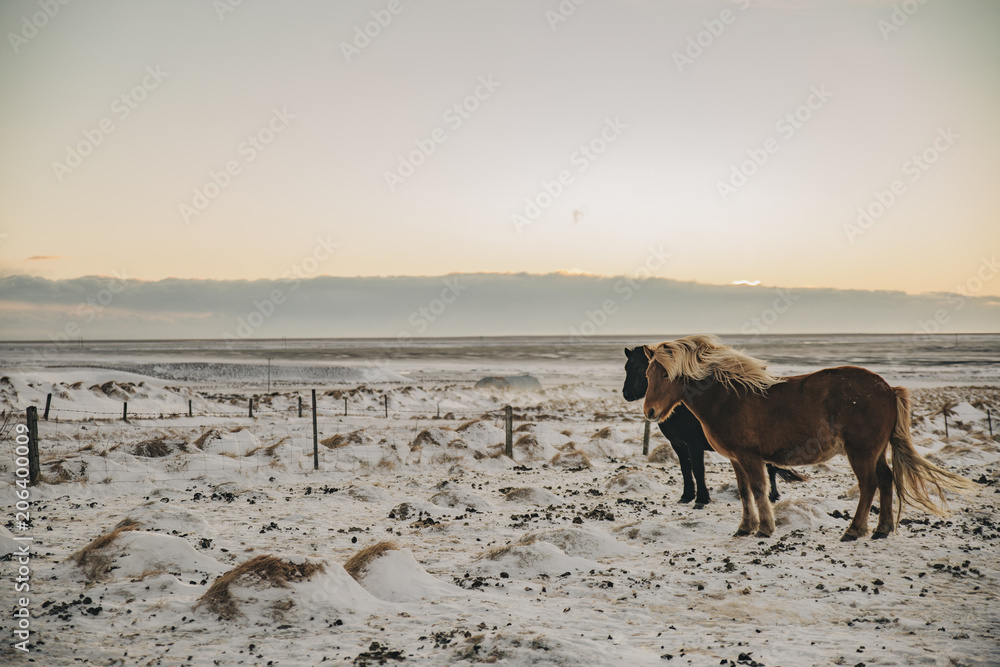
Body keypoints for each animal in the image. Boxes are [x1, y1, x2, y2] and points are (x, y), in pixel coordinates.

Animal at [623, 346, 803, 507]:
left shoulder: (694, 444)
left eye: (642, 368)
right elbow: (685, 469)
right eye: (627, 367)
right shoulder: (678, 445)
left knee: (770, 468)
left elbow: (697, 469)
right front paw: (686, 496)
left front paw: (701, 499)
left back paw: (772, 496)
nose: (627, 394)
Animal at [641, 334, 975, 541]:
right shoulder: (736, 459)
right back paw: (882, 529)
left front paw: (765, 529)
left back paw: (854, 531)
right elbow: (745, 492)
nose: (650, 411)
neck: (729, 397)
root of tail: (887, 388)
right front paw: (745, 527)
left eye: (667, 375)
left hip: (861, 452)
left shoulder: (750, 456)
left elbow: (760, 490)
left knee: (869, 485)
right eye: (647, 374)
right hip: (876, 451)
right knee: (885, 479)